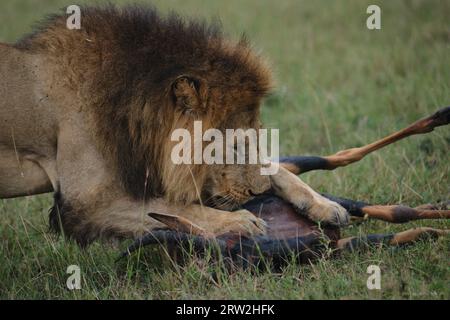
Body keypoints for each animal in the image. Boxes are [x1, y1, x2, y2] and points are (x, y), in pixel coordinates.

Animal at [0, 4, 348, 245]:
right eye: (233, 146)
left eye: (258, 138)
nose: (257, 194)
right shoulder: (84, 204)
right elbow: (173, 208)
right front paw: (240, 221)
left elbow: (278, 169)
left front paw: (324, 204)